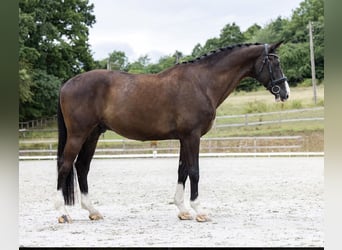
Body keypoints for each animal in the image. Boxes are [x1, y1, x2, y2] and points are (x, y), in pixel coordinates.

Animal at [54, 41, 290, 223]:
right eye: (275, 63)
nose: (285, 93)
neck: (202, 83)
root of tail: (66, 85)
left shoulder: (184, 138)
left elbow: (182, 170)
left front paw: (183, 210)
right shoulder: (192, 136)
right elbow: (194, 171)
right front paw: (199, 211)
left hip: (92, 135)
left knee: (82, 167)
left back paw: (93, 211)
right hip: (78, 134)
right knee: (65, 166)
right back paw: (62, 213)